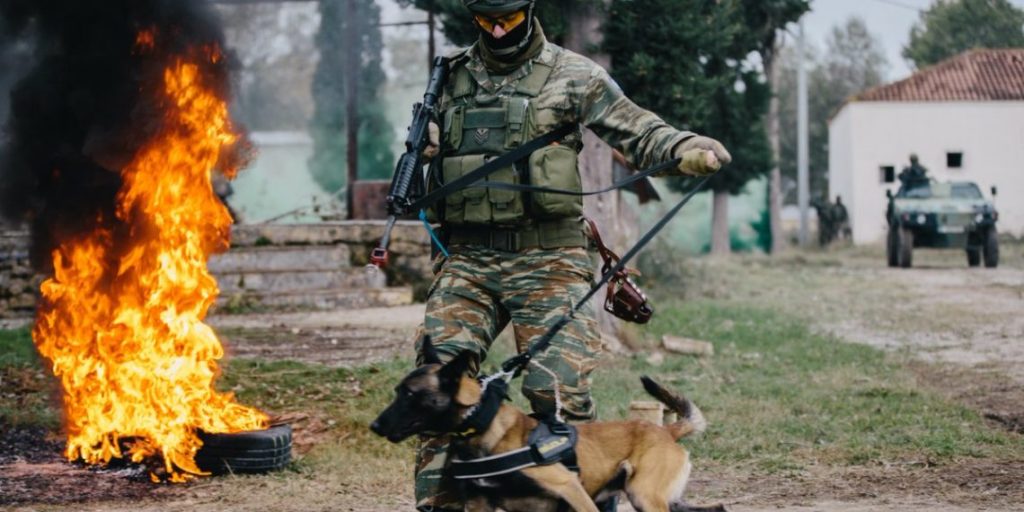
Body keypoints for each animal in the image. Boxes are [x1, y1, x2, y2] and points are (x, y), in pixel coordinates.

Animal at [372, 339, 724, 512]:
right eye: (398, 391)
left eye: (409, 394)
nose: (374, 426)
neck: (485, 431)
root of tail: (665, 430)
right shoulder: (479, 505)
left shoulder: (572, 490)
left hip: (644, 497)